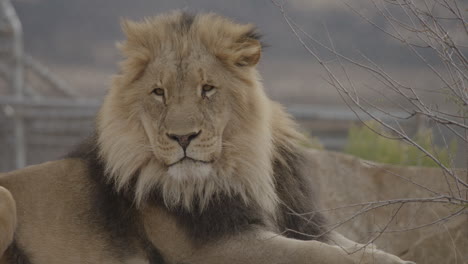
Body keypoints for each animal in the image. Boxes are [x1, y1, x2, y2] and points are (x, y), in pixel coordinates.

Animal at [0, 11, 414, 262]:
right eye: (159, 93)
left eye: (207, 89)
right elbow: (320, 255)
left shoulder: (302, 221)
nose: (182, 137)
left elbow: (362, 247)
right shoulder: (217, 248)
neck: (245, 165)